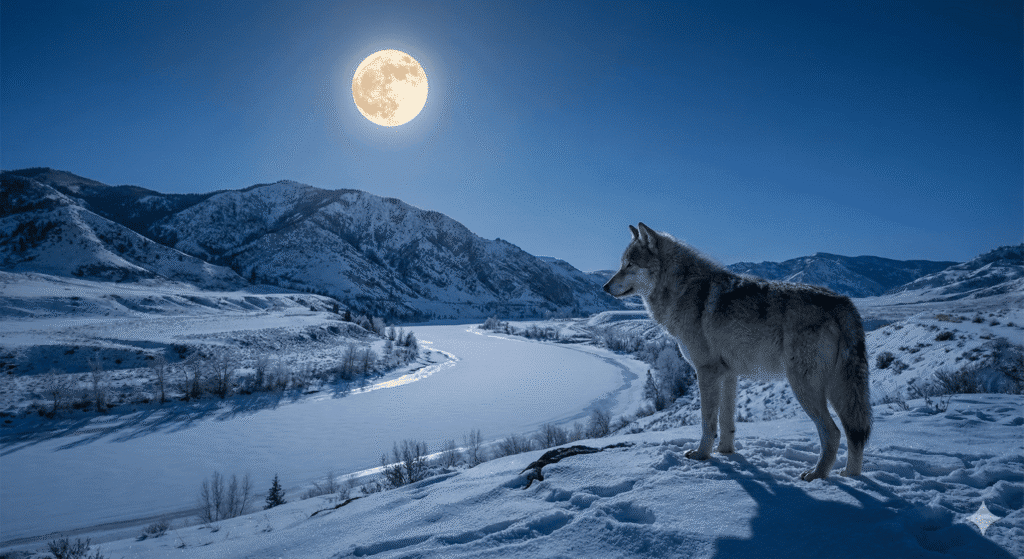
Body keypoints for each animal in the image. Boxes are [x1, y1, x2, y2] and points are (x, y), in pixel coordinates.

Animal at [604, 223, 871, 480]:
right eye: (622, 264)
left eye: (629, 265)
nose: (605, 287)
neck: (681, 289)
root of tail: (843, 301)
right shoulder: (728, 375)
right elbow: (726, 421)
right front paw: (727, 454)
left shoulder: (706, 372)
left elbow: (707, 422)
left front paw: (702, 455)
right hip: (839, 390)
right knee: (854, 434)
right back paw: (851, 476)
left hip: (806, 386)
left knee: (833, 432)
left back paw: (817, 475)